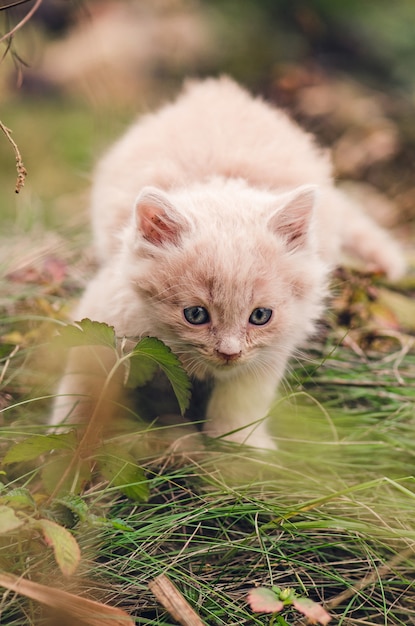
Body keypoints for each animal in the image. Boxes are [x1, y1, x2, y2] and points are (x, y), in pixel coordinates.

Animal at [50, 77, 404, 448]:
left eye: (260, 316)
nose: (229, 352)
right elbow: (84, 383)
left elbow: (243, 398)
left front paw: (241, 444)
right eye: (195, 315)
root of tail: (217, 88)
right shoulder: (106, 313)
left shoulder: (276, 344)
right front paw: (65, 439)